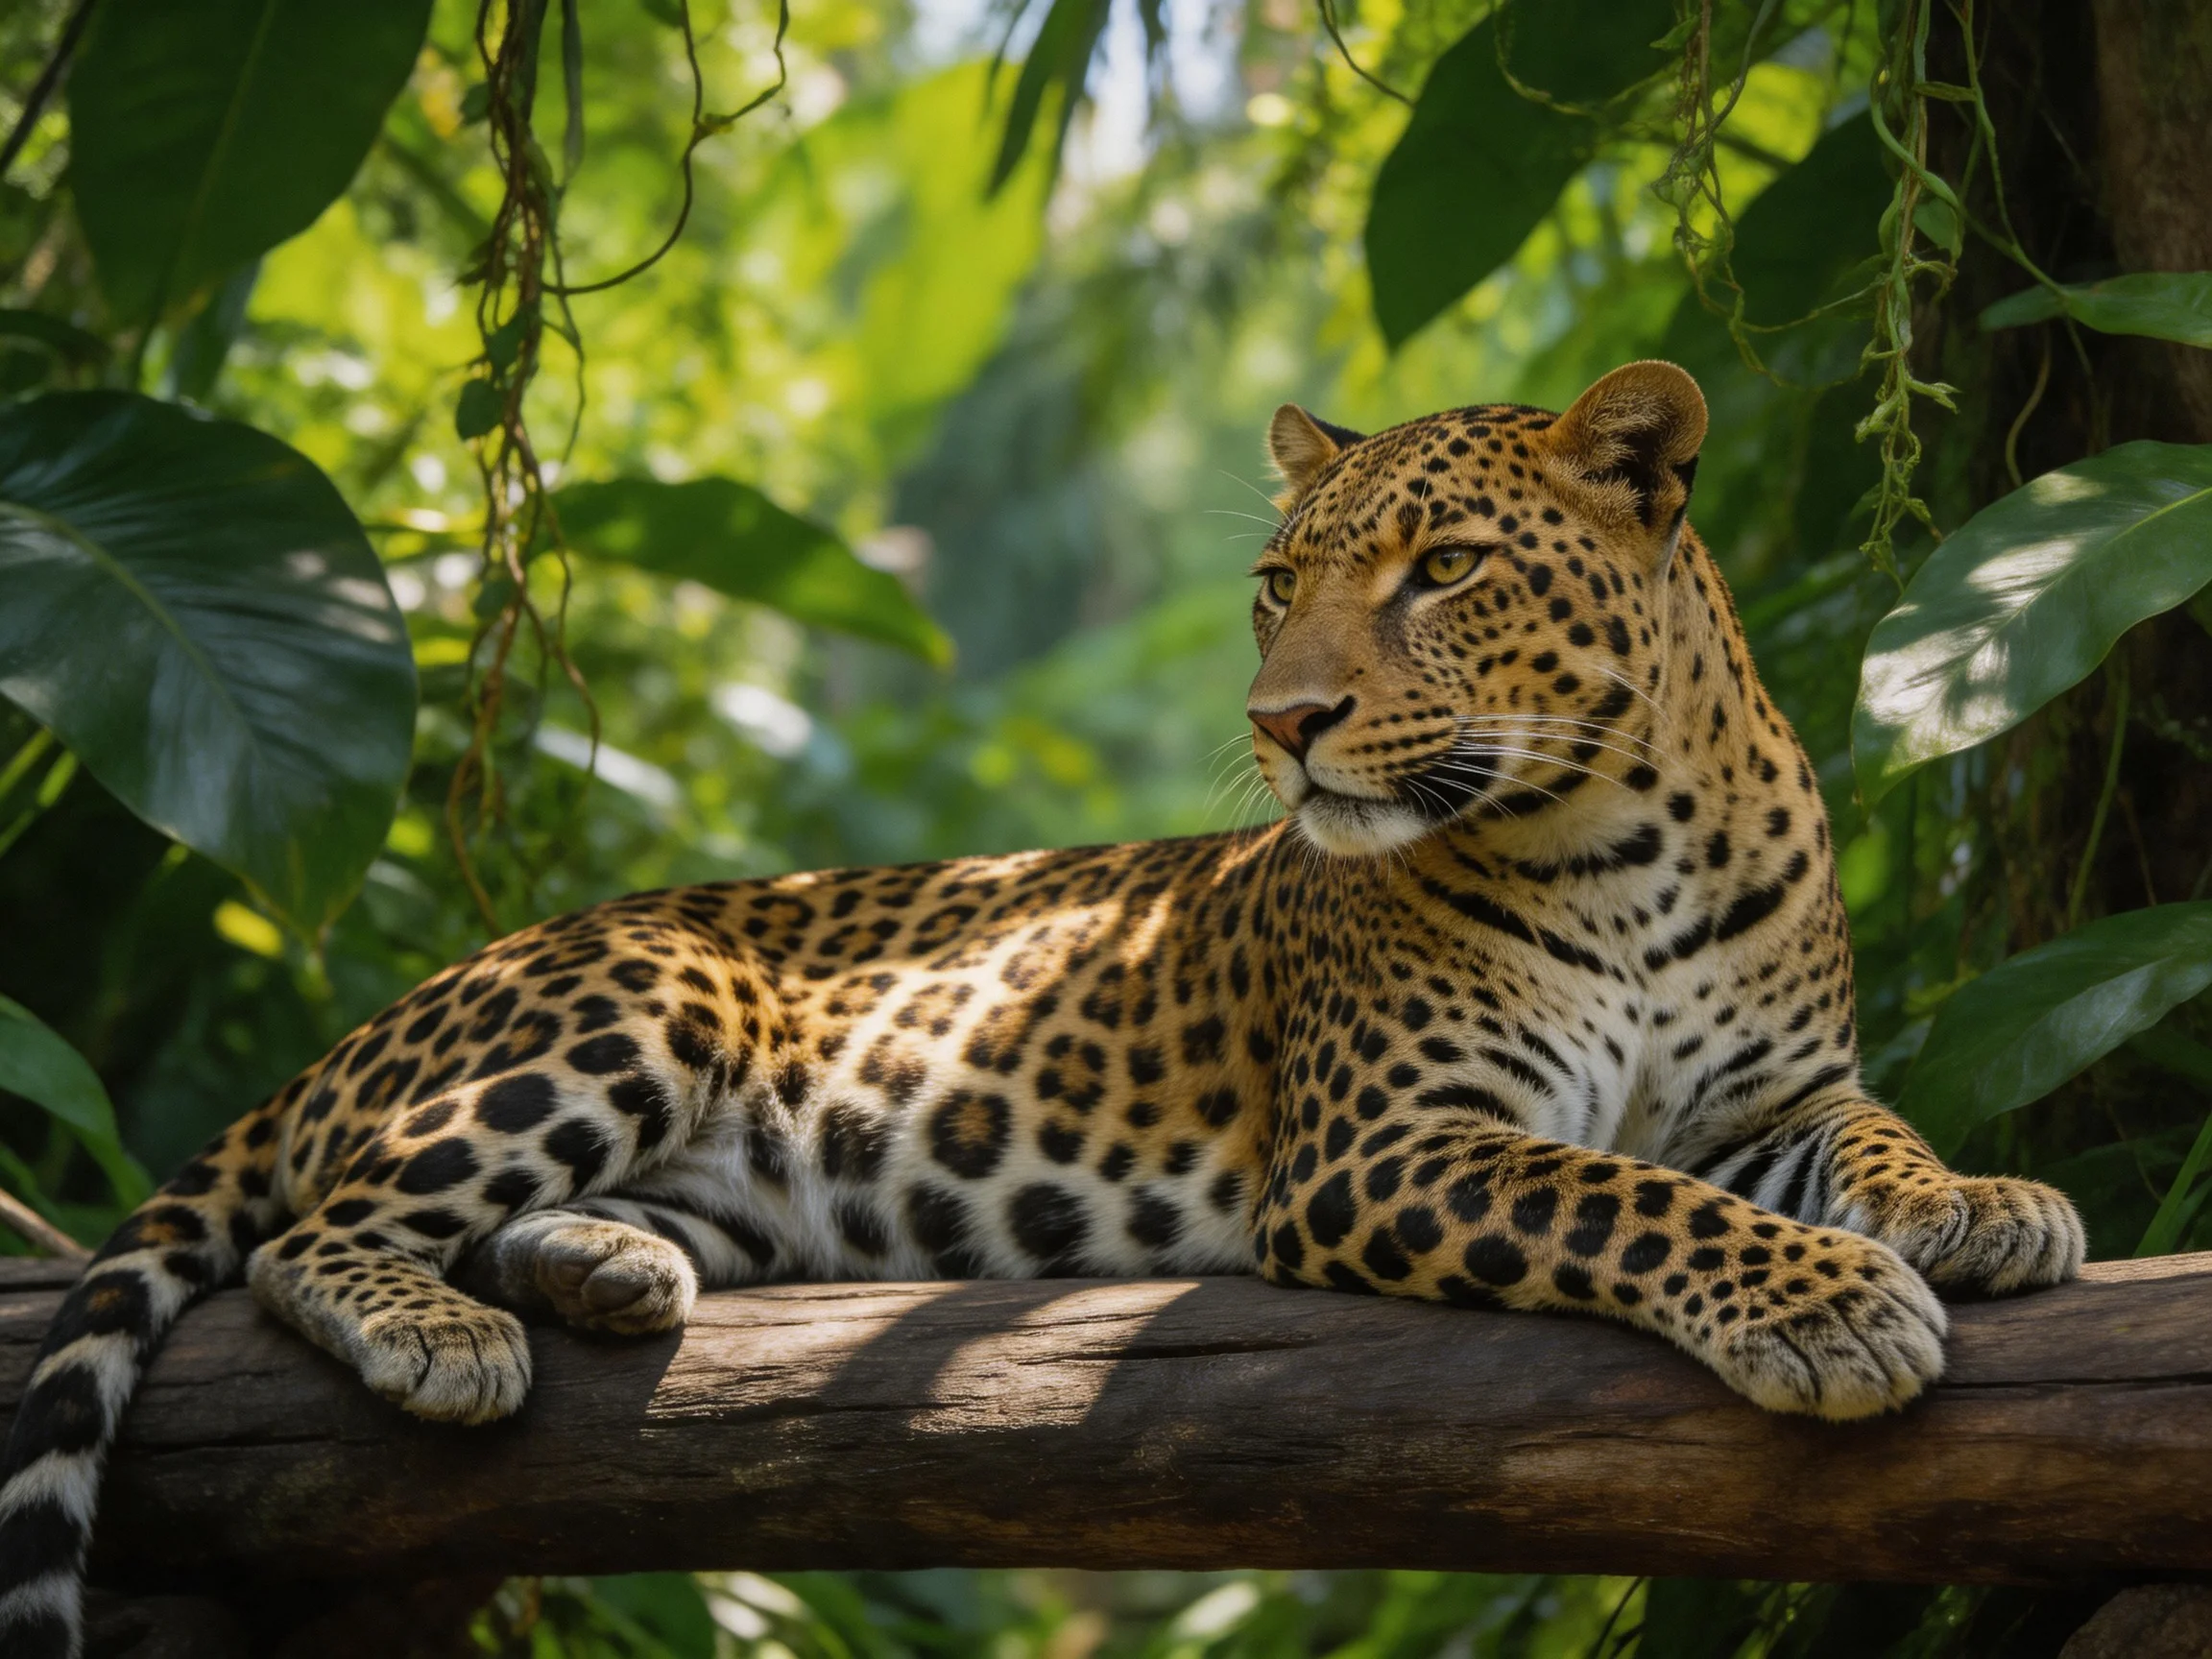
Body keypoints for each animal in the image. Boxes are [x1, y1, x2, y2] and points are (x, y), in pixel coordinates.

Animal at [0, 362, 2084, 1657]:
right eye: (1275, 584)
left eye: (1442, 572)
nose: (1282, 722)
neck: (1627, 826)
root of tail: (381, 1018)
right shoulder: (1385, 1146)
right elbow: (1629, 1196)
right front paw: (1825, 1311)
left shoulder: (1769, 1097)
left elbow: (1861, 1139)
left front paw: (1981, 1209)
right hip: (633, 999)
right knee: (320, 1235)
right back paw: (439, 1328)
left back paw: (601, 1271)